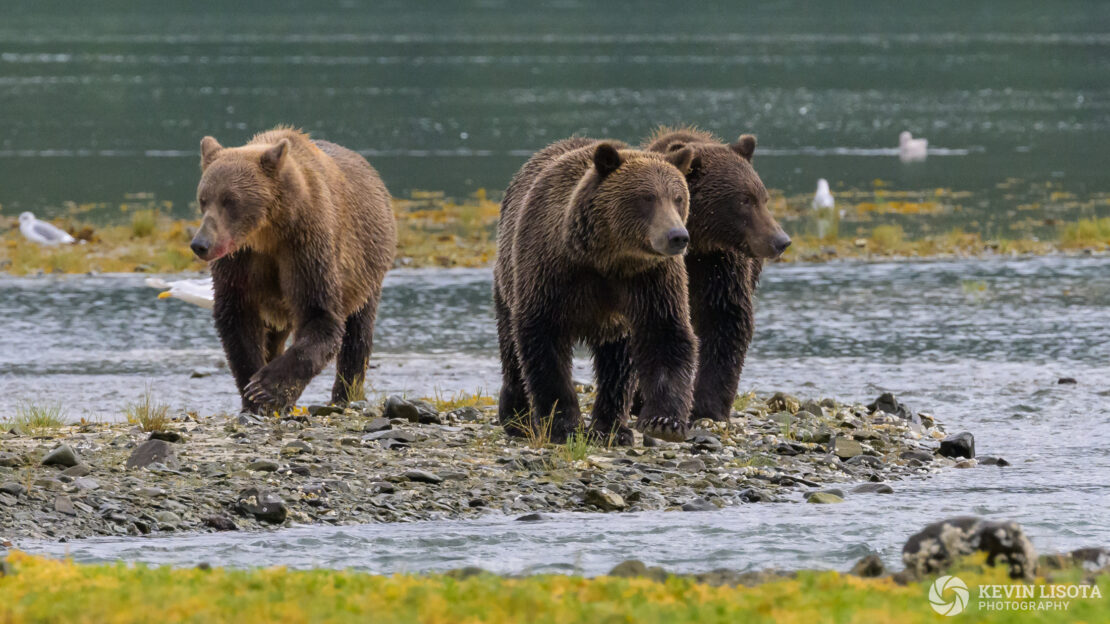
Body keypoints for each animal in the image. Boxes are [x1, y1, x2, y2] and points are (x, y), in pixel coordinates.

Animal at [190, 124, 395, 413]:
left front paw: (266, 388)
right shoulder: (241, 260)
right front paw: (252, 394)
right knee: (273, 335)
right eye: (203, 199)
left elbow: (319, 315)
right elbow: (236, 319)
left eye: (230, 200)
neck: (267, 232)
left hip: (366, 272)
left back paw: (345, 394)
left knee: (359, 333)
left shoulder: (305, 246)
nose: (201, 244)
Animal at [497, 138, 697, 444]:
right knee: (511, 349)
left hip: (616, 325)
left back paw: (612, 428)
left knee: (618, 366)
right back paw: (516, 418)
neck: (608, 258)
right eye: (647, 197)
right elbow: (543, 340)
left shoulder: (651, 280)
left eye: (678, 197)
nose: (677, 236)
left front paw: (664, 422)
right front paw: (564, 426)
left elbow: (666, 334)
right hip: (507, 277)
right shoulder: (552, 273)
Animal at [639, 124, 794, 421]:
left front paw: (709, 406)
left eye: (763, 198)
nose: (781, 241)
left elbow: (725, 319)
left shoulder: (719, 264)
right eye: (744, 200)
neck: (697, 240)